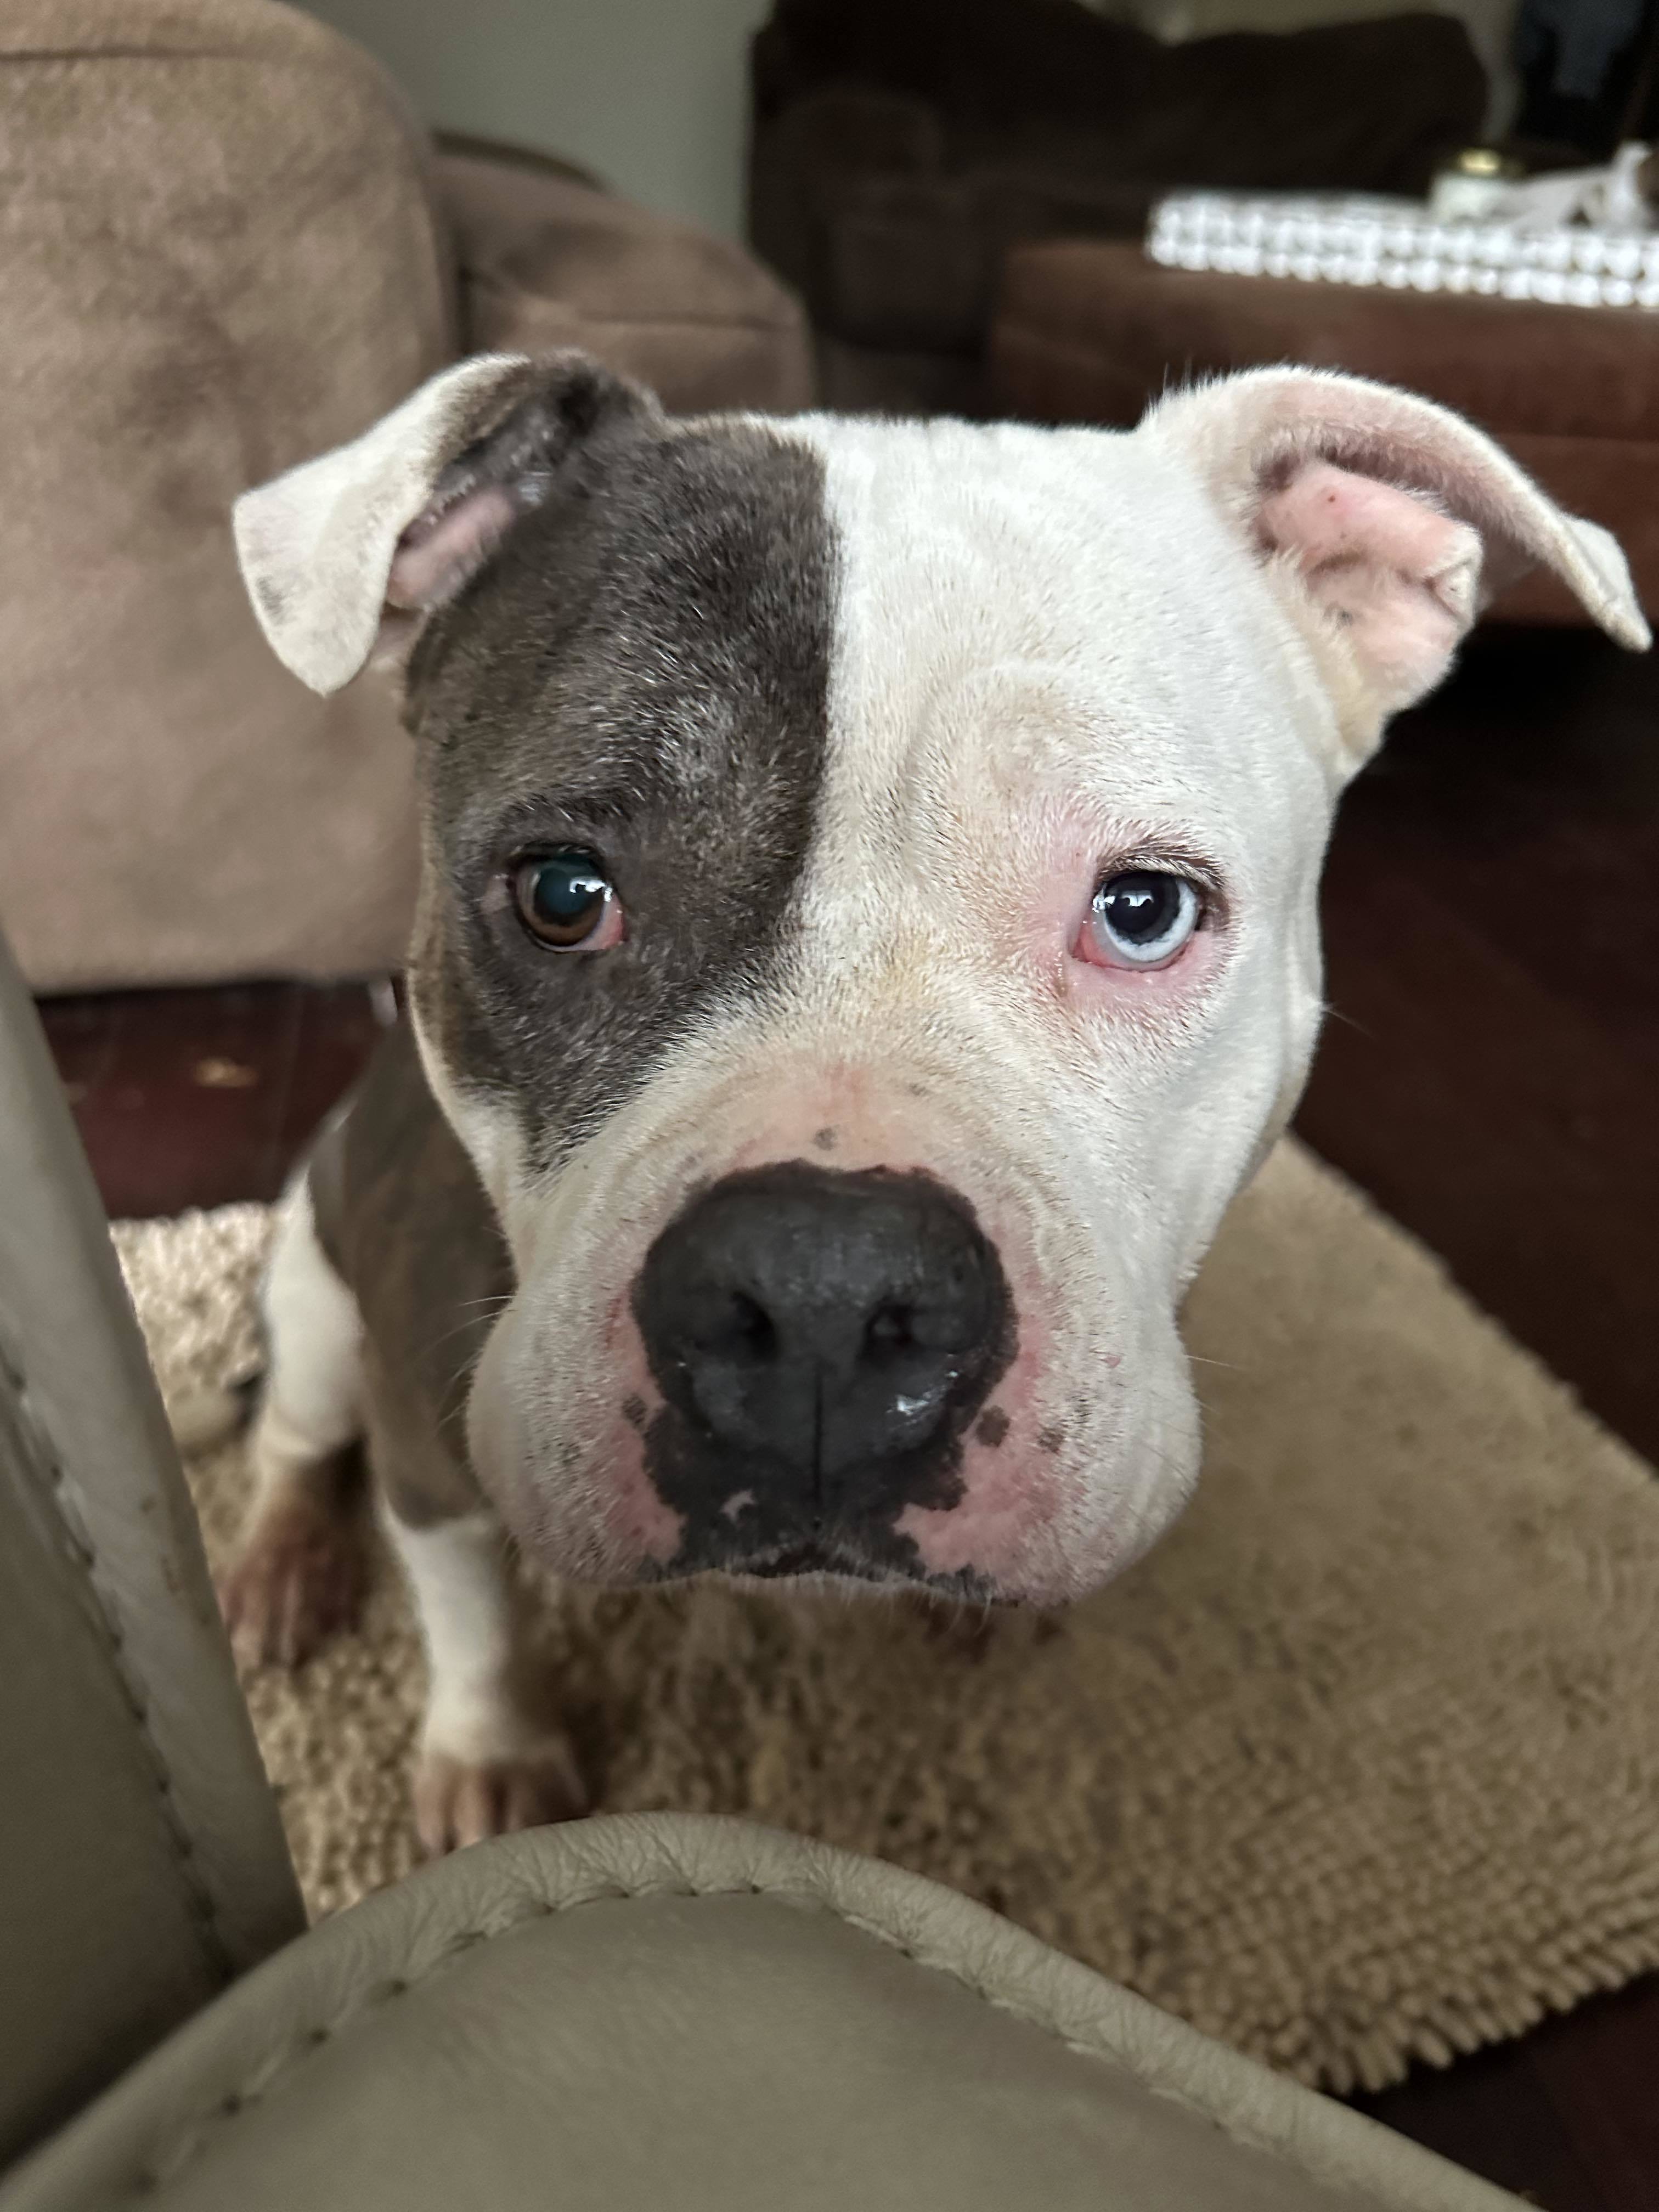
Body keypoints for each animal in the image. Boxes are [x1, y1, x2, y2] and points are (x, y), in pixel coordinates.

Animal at [221, 358, 1654, 1849]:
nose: (823, 1294)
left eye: (1145, 909)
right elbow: (470, 1608)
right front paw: (493, 1752)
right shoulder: (425, 1427)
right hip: (320, 1300)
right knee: (290, 1433)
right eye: (561, 892)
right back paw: (279, 1562)